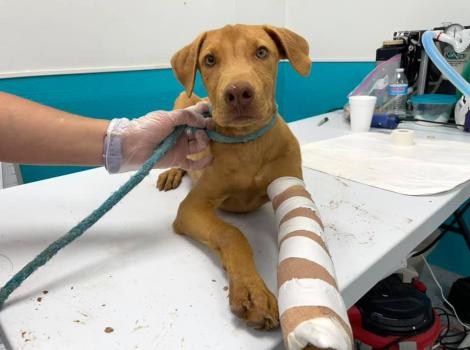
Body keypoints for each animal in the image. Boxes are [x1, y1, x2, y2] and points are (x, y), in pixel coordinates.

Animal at [158, 24, 312, 330]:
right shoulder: (191, 207)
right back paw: (172, 172)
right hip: (180, 104)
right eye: (209, 59)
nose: (238, 92)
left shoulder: (289, 181)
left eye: (262, 51)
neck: (247, 143)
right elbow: (231, 233)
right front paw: (252, 291)